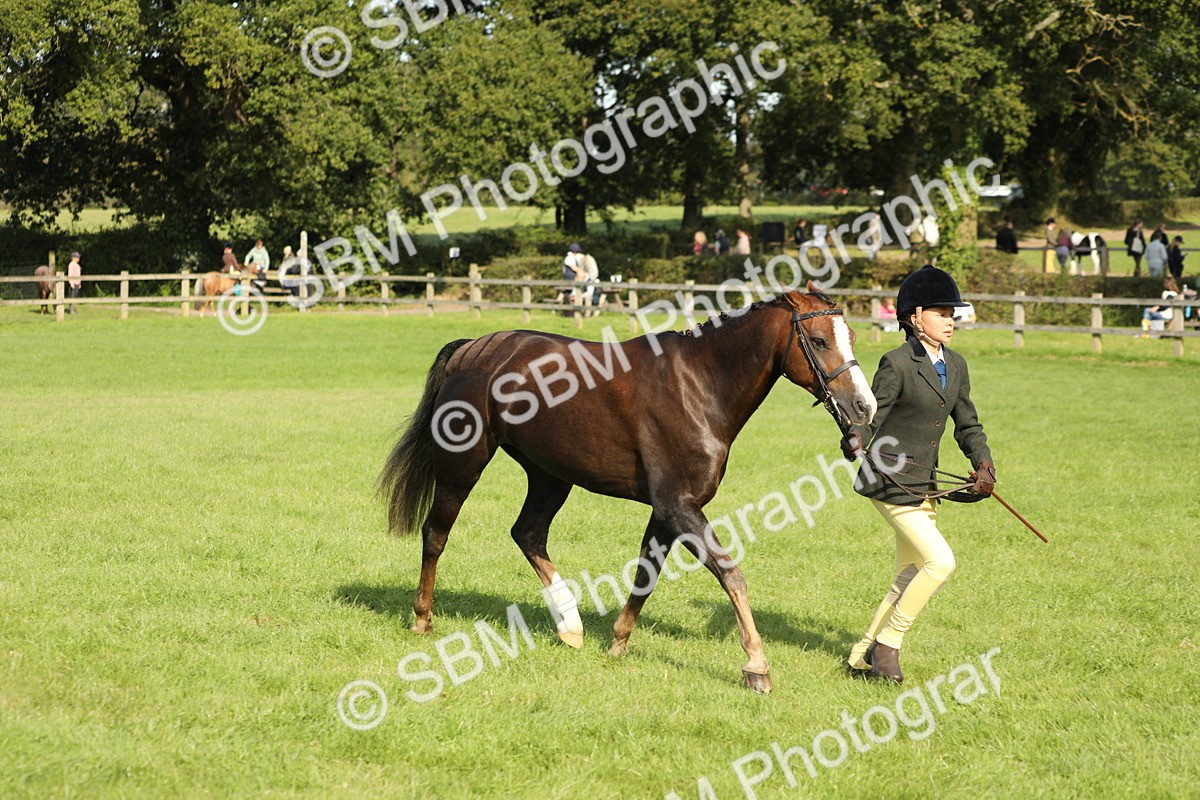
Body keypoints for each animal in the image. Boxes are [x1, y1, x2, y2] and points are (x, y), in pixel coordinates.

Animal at [379, 282, 877, 692]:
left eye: (851, 337)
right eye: (819, 341)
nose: (864, 406)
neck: (699, 386)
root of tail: (472, 349)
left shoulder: (668, 510)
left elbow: (645, 575)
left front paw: (617, 642)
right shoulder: (679, 506)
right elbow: (730, 573)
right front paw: (756, 665)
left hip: (550, 475)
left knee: (528, 533)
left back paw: (570, 625)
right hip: (463, 464)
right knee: (436, 533)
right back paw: (422, 618)